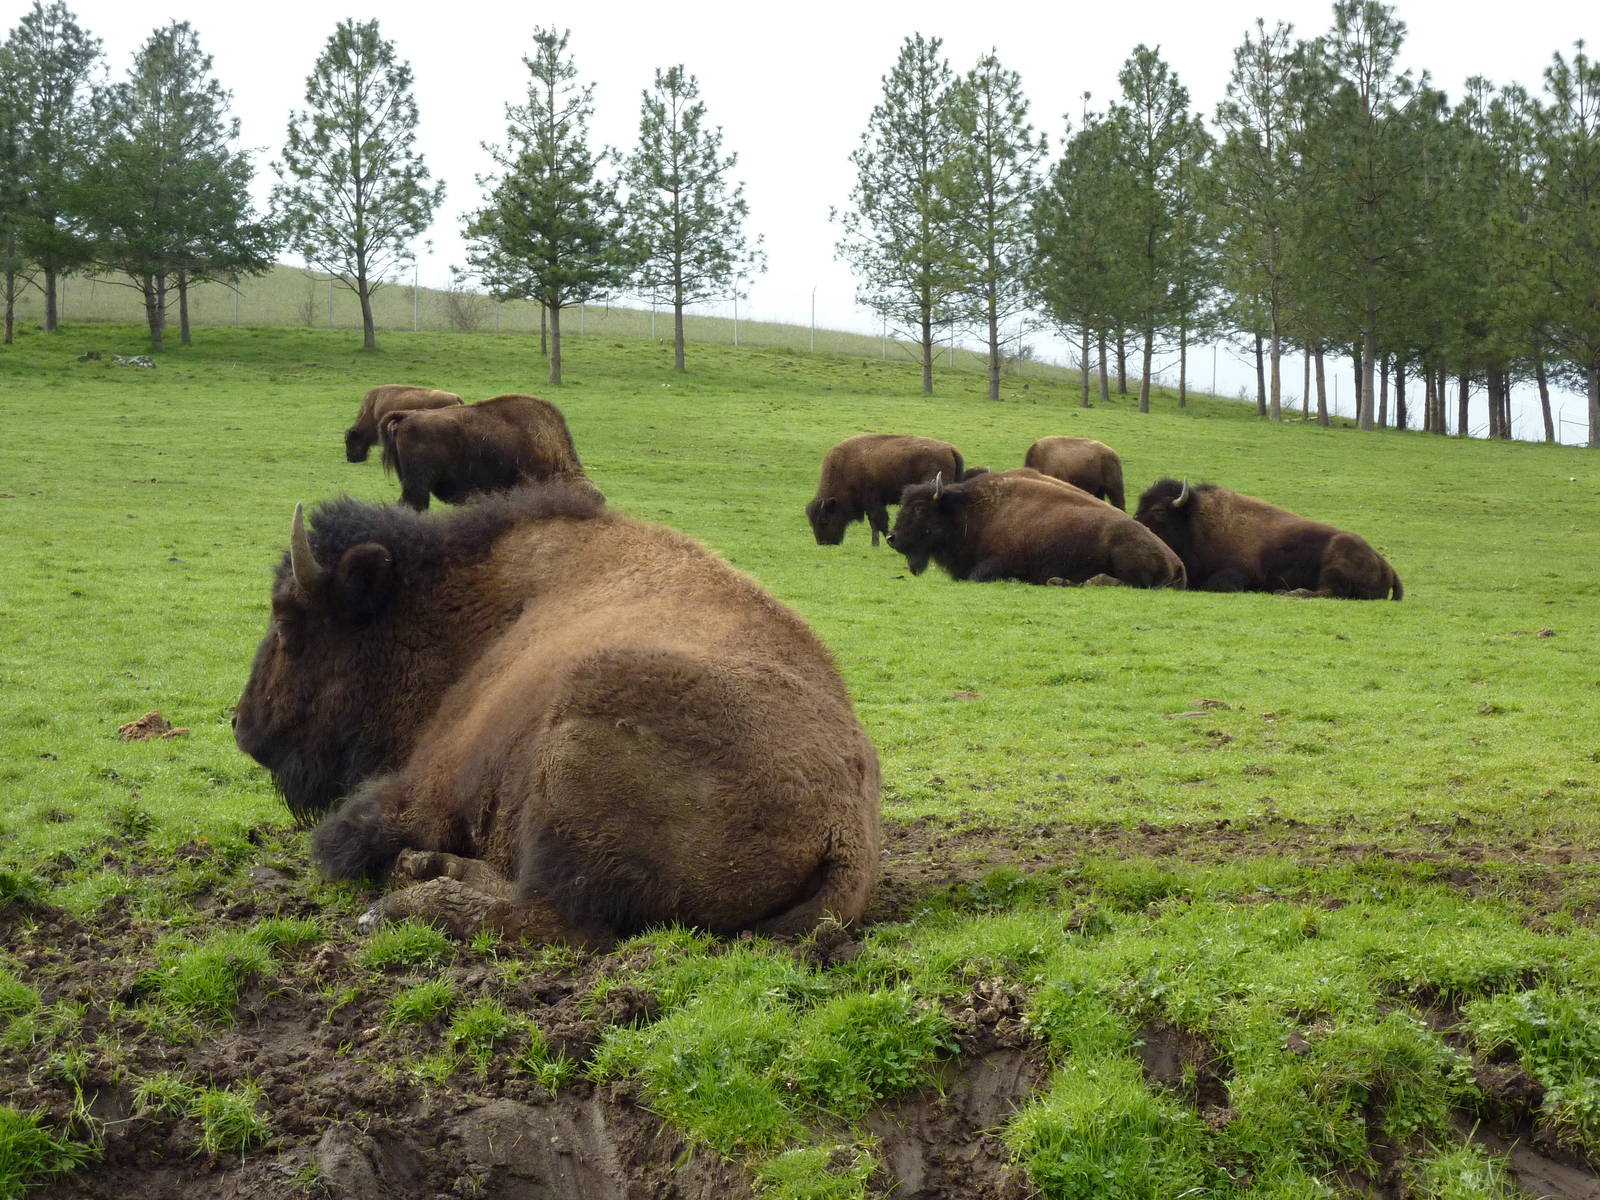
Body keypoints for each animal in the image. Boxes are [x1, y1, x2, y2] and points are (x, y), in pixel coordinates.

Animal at [233, 485, 883, 947]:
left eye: (287, 620)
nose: (242, 726)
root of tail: (846, 835)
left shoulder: (423, 789)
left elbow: (345, 839)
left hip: (574, 752)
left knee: (553, 920)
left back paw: (400, 903)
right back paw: (425, 871)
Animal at [806, 433, 964, 546]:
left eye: (824, 520)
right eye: (812, 522)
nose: (823, 543)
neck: (845, 467)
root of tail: (950, 449)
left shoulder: (874, 501)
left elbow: (879, 521)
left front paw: (884, 541)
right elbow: (875, 523)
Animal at [1134, 478, 1403, 599]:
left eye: (1159, 510)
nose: (1135, 523)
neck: (1197, 522)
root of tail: (1386, 564)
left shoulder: (1240, 574)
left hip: (1336, 561)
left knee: (1328, 591)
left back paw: (1290, 592)